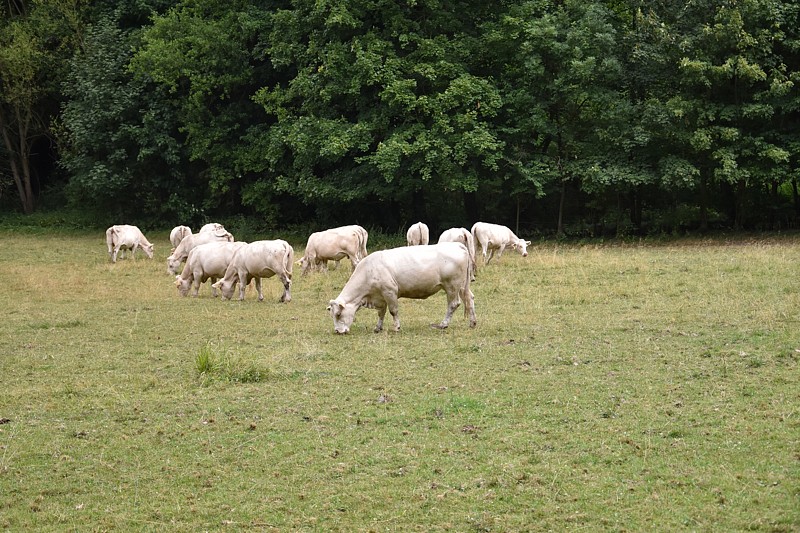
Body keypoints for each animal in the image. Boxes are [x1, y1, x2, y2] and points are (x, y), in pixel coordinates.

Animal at [330, 241, 478, 332]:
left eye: (338, 314)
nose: (337, 331)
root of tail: (457, 245)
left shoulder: (390, 292)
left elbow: (393, 311)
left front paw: (396, 327)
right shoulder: (381, 296)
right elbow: (381, 313)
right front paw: (378, 327)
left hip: (452, 286)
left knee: (453, 304)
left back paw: (443, 324)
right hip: (462, 286)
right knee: (469, 299)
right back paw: (472, 322)